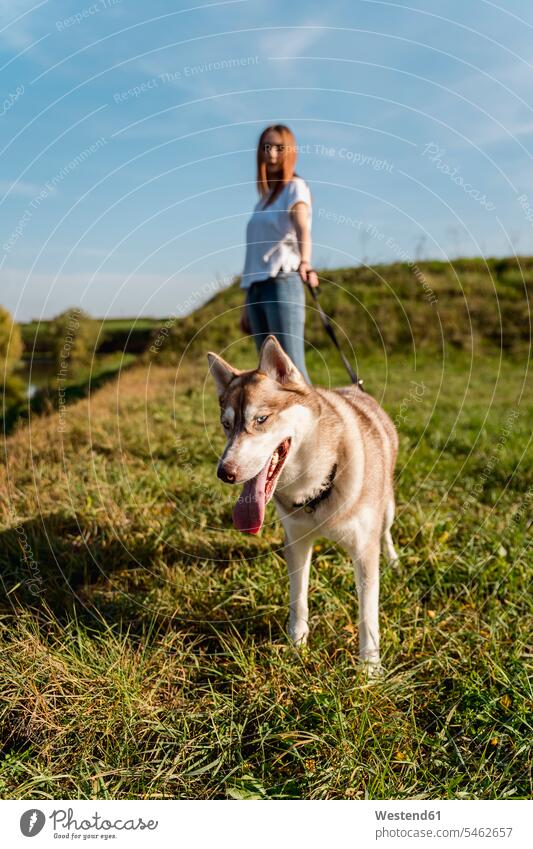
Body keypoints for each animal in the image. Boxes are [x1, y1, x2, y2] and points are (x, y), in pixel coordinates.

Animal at [206, 334, 396, 672]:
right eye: (226, 424)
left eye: (261, 419)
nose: (225, 472)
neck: (318, 486)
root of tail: (357, 390)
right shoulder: (295, 541)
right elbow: (299, 599)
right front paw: (297, 646)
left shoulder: (364, 550)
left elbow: (367, 616)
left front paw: (370, 670)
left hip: (387, 509)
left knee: (386, 534)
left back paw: (395, 560)